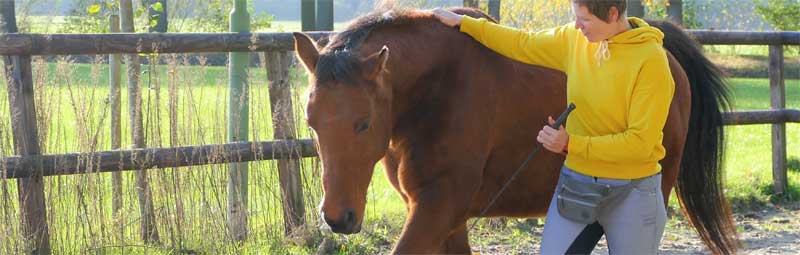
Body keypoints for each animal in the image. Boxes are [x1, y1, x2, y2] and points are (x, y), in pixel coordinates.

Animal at [292, 5, 736, 255]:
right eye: (311, 122)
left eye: (363, 123)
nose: (337, 218)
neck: (438, 90)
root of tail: (666, 55)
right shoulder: (448, 218)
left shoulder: (437, 208)